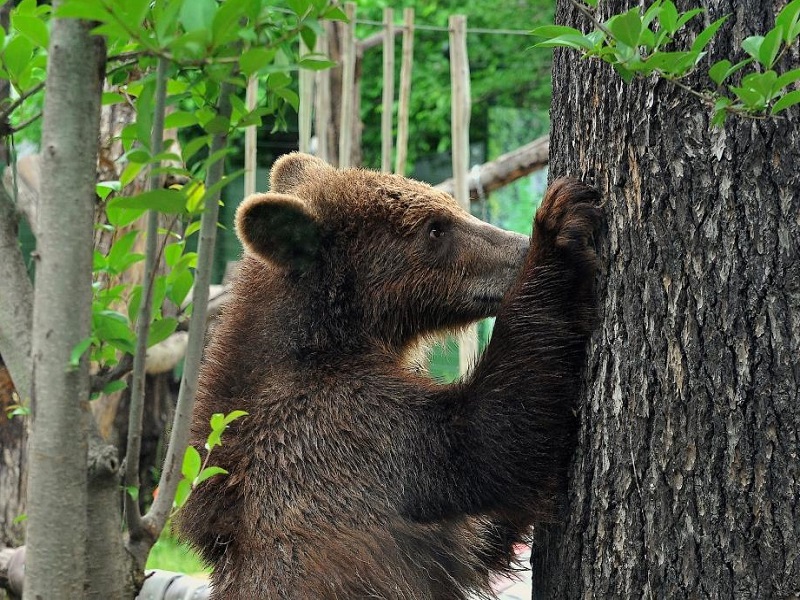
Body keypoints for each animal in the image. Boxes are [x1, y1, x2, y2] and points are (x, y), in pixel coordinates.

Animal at [176, 152, 601, 599]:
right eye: (436, 228)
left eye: (451, 208)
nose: (519, 247)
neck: (331, 338)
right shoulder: (347, 433)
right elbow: (489, 439)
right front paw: (560, 225)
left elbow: (485, 528)